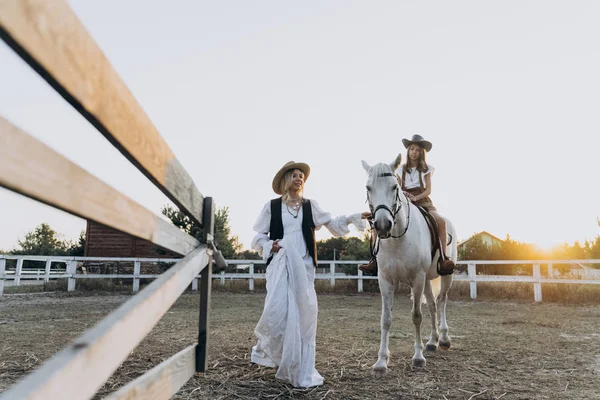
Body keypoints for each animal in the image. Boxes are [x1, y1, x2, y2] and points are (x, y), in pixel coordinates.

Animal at [364, 153, 458, 376]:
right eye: (368, 188)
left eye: (394, 187)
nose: (382, 225)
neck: (398, 239)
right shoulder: (385, 280)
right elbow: (386, 319)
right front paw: (381, 362)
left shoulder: (416, 279)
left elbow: (416, 315)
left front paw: (418, 357)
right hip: (427, 280)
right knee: (432, 305)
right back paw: (432, 342)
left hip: (445, 276)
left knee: (442, 302)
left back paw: (444, 339)